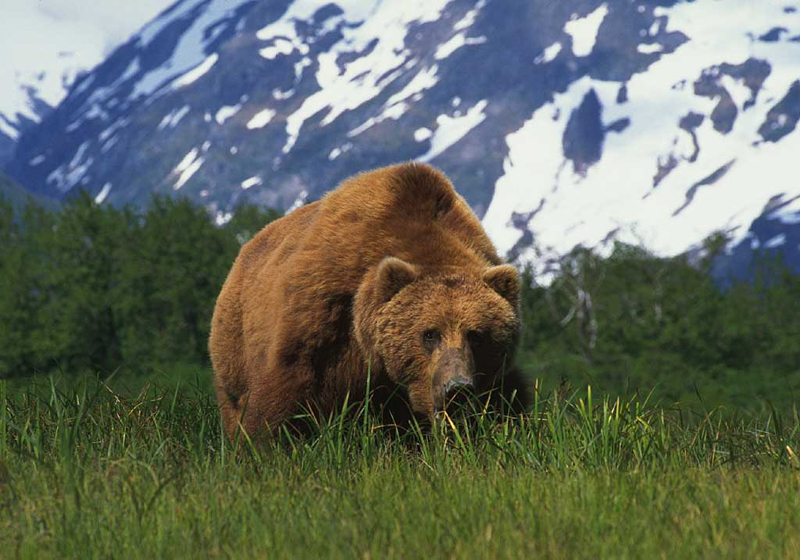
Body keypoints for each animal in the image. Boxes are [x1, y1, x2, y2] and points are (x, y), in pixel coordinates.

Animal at [209, 162, 529, 439]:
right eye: (429, 334)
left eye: (476, 335)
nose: (457, 389)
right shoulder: (324, 315)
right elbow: (283, 396)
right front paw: (267, 444)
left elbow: (508, 401)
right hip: (234, 345)